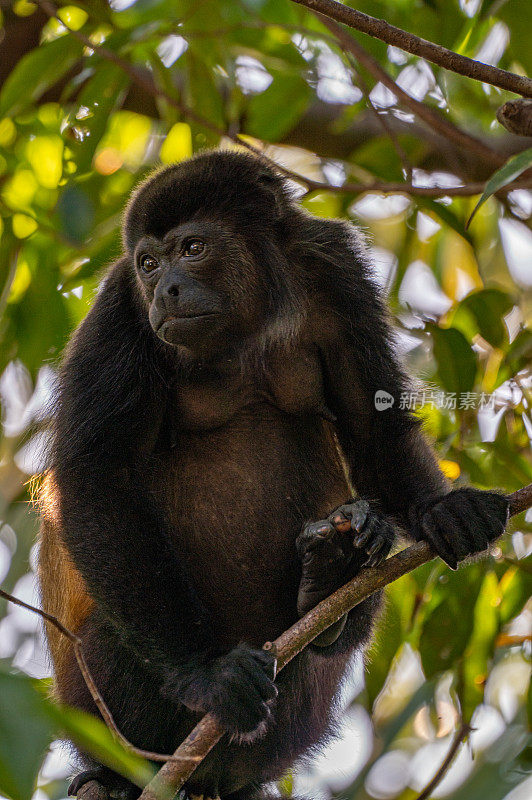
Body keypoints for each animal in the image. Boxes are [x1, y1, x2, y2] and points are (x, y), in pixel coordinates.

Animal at [38, 150, 512, 800]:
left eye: (192, 248)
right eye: (147, 263)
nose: (166, 289)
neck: (250, 318)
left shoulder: (333, 270)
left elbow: (370, 420)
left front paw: (442, 510)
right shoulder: (118, 312)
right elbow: (95, 477)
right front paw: (203, 673)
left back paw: (331, 584)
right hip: (99, 710)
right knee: (114, 639)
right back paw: (114, 776)